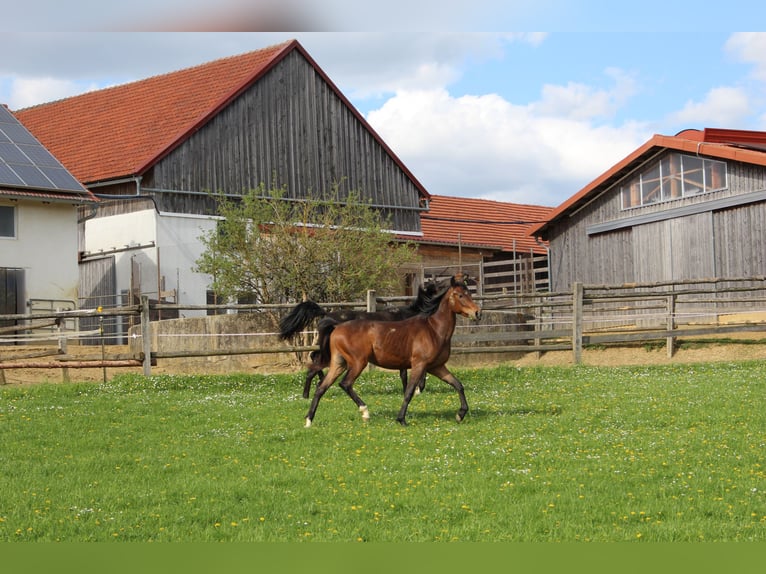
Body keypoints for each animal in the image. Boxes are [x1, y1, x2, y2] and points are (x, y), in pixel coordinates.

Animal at [279, 282, 440, 398]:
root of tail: (326, 315)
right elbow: (408, 373)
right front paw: (416, 389)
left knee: (315, 359)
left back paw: (312, 388)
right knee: (316, 361)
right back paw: (310, 391)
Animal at [304, 274, 481, 427]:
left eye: (469, 293)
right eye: (460, 295)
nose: (477, 312)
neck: (433, 330)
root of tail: (336, 327)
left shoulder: (436, 367)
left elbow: (458, 385)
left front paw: (460, 414)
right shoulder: (419, 365)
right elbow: (409, 391)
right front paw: (401, 419)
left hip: (338, 363)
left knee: (321, 387)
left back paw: (308, 420)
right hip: (358, 363)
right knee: (345, 384)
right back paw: (365, 412)